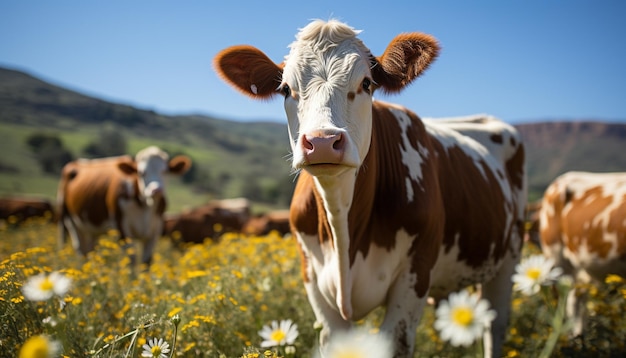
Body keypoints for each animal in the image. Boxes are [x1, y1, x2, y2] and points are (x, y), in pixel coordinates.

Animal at [58, 145, 190, 266]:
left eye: (165, 171)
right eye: (141, 173)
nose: (156, 190)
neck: (145, 205)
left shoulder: (155, 230)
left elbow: (146, 261)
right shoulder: (121, 227)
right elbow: (131, 259)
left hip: (92, 227)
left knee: (90, 250)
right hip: (68, 219)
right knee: (80, 249)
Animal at [212, 19, 524, 358]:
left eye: (366, 84)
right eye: (285, 89)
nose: (323, 141)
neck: (342, 224)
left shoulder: (414, 275)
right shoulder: (314, 281)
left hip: (509, 258)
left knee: (494, 325)